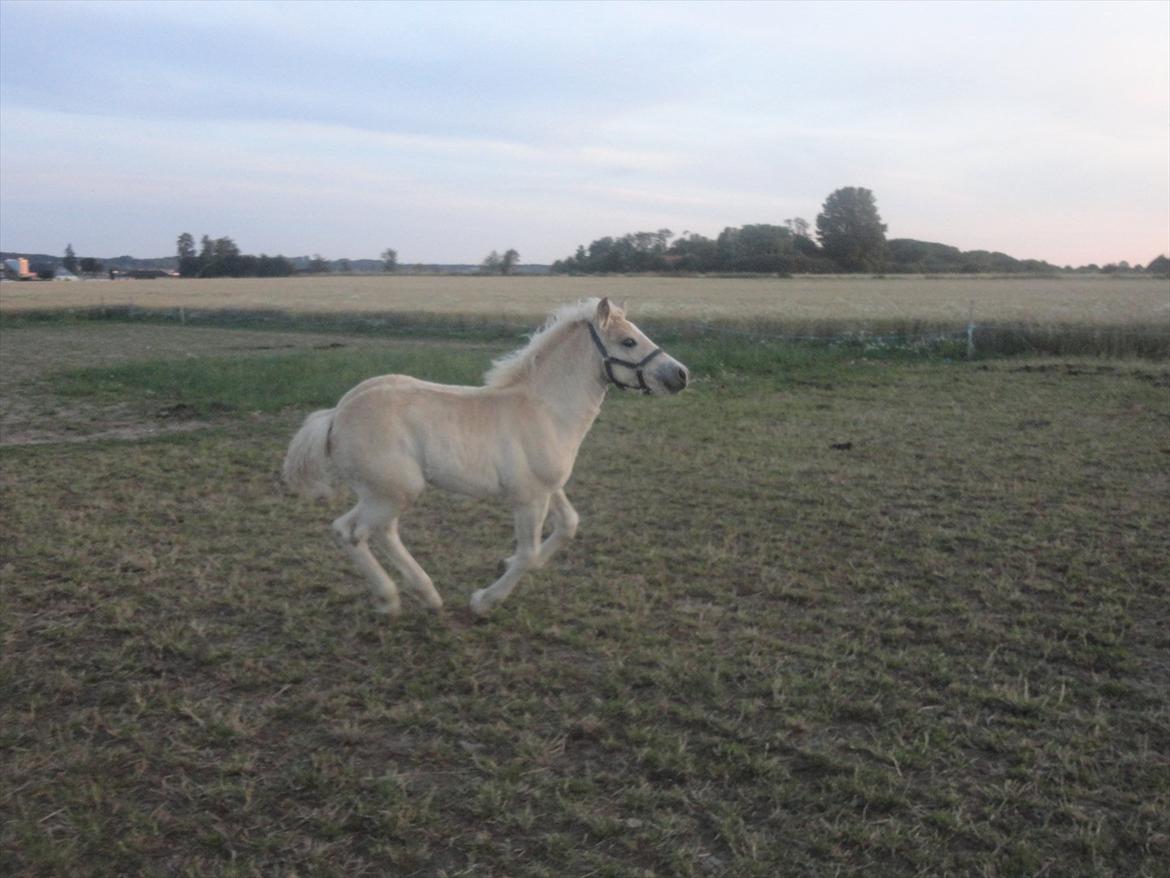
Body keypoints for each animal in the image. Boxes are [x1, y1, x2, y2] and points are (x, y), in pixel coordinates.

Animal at [279, 299, 687, 613]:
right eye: (628, 341)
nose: (680, 375)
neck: (545, 411)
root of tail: (336, 414)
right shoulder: (529, 499)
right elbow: (528, 552)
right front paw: (484, 600)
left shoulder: (549, 489)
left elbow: (568, 525)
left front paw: (511, 563)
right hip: (393, 492)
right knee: (355, 533)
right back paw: (394, 598)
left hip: (381, 493)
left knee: (363, 530)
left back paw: (426, 596)